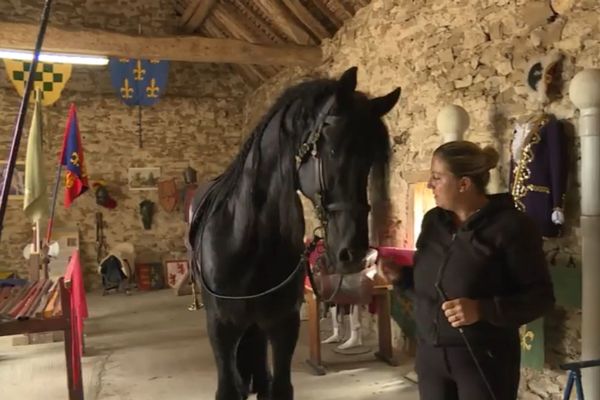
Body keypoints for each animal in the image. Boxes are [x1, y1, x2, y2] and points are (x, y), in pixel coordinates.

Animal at [189, 67, 398, 398]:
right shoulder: (221, 328)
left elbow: (278, 386)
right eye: (333, 148)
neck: (249, 239)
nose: (355, 254)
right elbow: (230, 387)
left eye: (371, 159)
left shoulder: (282, 325)